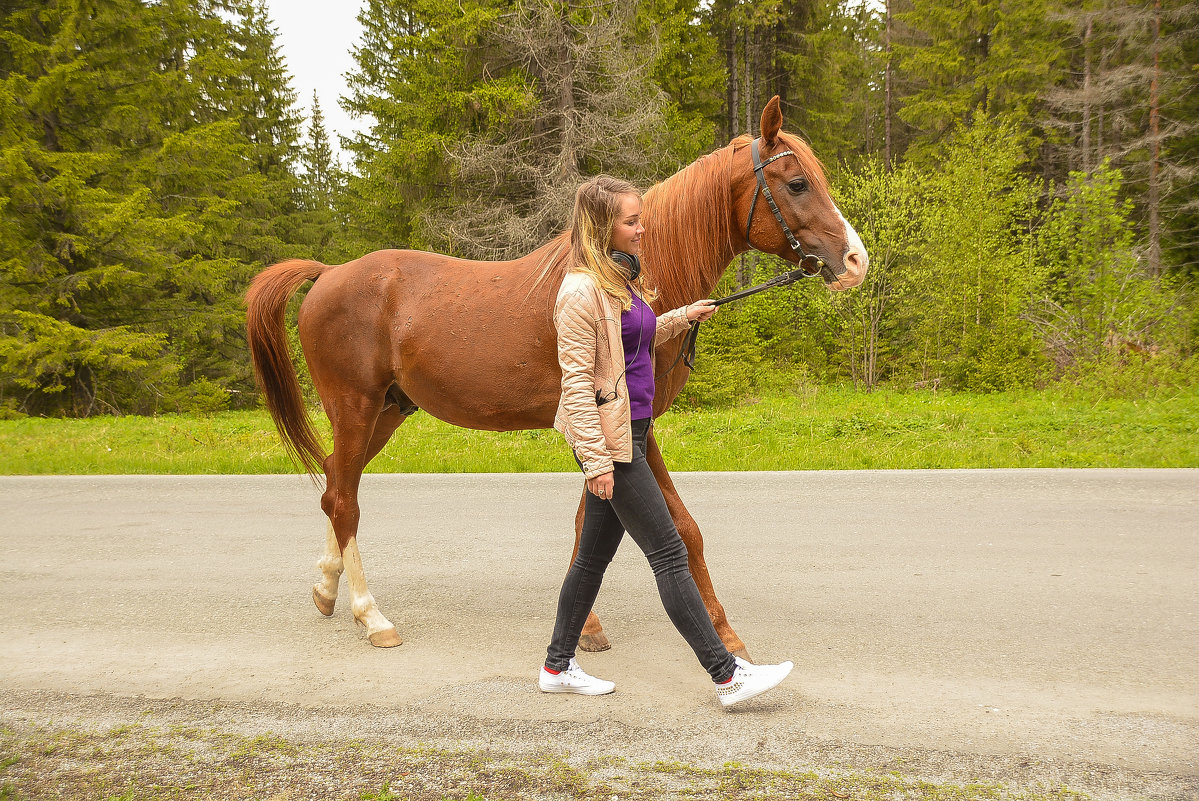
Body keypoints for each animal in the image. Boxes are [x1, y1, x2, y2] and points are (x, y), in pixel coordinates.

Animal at [245, 97, 863, 652]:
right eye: (797, 184)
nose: (855, 260)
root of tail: (328, 274)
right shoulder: (616, 425)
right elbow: (628, 523)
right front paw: (595, 625)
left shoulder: (630, 429)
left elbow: (667, 527)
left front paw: (714, 631)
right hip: (355, 406)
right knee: (344, 499)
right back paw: (371, 615)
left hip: (388, 411)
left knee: (335, 482)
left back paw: (328, 591)